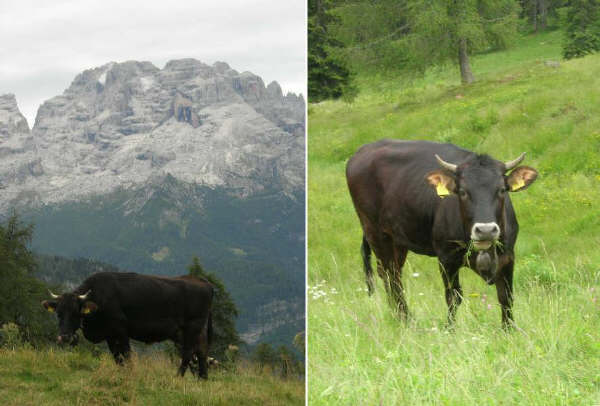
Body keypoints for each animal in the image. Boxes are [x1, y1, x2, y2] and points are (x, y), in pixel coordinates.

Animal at [41, 272, 213, 380]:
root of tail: (202, 281)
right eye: (58, 313)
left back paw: (178, 377)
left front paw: (130, 373)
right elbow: (117, 357)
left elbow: (126, 354)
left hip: (192, 327)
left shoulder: (121, 330)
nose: (64, 337)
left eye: (76, 313)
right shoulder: (109, 335)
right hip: (190, 331)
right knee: (202, 350)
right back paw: (203, 378)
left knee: (188, 352)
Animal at [346, 140, 540, 326]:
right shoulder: (447, 258)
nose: (485, 230)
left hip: (397, 239)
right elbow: (453, 297)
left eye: (501, 190)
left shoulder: (508, 257)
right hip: (374, 231)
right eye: (462, 192)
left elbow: (506, 297)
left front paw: (509, 330)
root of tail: (362, 151)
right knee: (390, 276)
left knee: (391, 273)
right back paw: (404, 319)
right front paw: (450, 329)